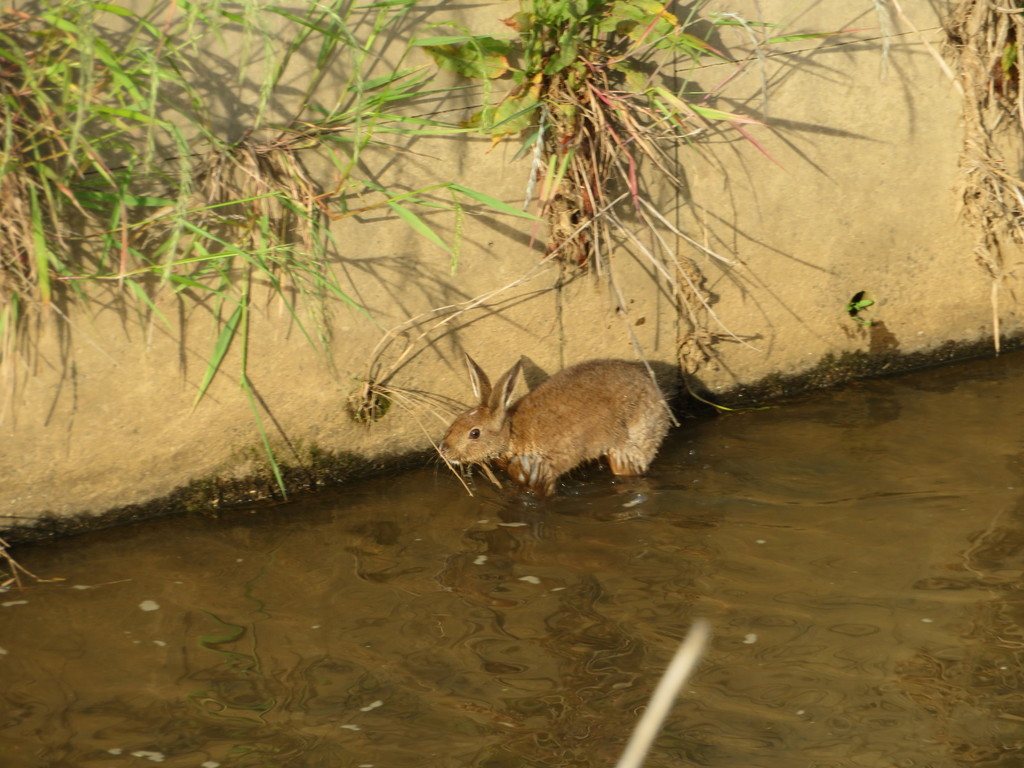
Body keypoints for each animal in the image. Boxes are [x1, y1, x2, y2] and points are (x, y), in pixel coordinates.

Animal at [440, 355, 671, 496]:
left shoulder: (545, 469)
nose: (444, 449)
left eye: (474, 433)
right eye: (457, 421)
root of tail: (660, 401)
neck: (511, 434)